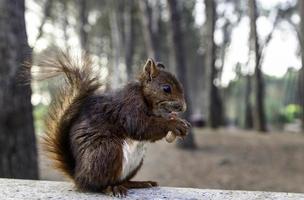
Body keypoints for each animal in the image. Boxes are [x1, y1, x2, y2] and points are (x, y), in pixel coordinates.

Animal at [38, 52, 190, 196]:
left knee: (121, 180)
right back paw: (111, 188)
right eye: (166, 88)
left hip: (136, 160)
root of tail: (78, 176)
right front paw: (175, 124)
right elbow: (140, 126)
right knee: (97, 184)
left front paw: (180, 121)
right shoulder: (129, 105)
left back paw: (138, 183)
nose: (183, 108)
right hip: (106, 150)